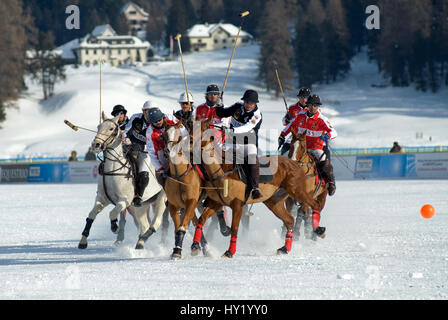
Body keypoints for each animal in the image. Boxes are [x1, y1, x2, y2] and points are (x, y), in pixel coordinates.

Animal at [78, 112, 167, 250]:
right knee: (144, 225)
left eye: (111, 128)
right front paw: (83, 241)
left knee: (155, 223)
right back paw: (140, 242)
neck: (113, 171)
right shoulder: (101, 198)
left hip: (161, 199)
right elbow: (91, 215)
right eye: (98, 127)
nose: (96, 145)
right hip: (142, 205)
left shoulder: (124, 201)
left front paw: (115, 228)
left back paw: (143, 240)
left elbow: (112, 213)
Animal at [189, 120, 322, 258]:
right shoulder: (215, 202)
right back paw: (285, 248)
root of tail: (295, 163)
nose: (189, 148)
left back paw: (318, 230)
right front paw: (194, 246)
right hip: (274, 201)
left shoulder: (238, 205)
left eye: (201, 132)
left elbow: (234, 229)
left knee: (315, 205)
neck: (220, 170)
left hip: (298, 191)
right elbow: (201, 220)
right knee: (289, 220)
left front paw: (229, 252)